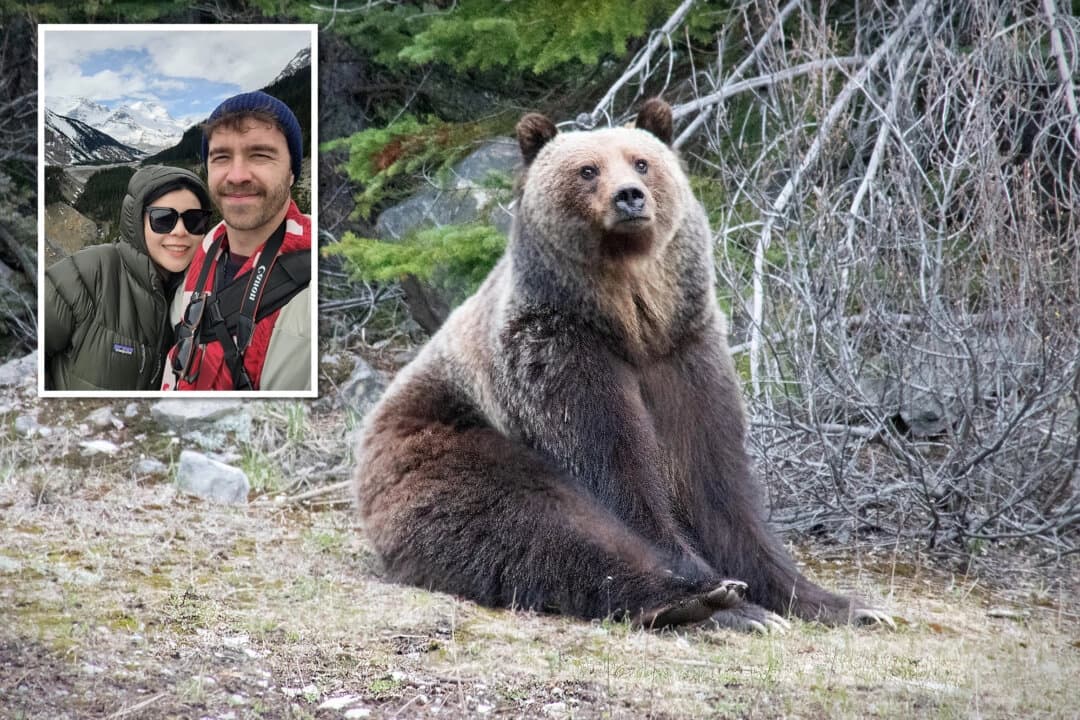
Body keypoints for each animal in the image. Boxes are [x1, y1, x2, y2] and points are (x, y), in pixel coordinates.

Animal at [354, 98, 893, 632]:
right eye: (588, 170)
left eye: (642, 162)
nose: (630, 197)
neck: (632, 320)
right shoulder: (564, 353)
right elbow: (616, 471)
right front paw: (730, 598)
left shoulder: (684, 353)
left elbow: (716, 481)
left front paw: (837, 602)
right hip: (442, 442)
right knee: (531, 520)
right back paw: (695, 600)